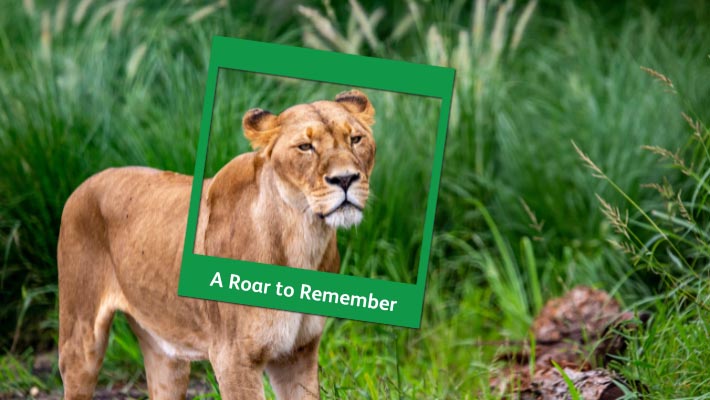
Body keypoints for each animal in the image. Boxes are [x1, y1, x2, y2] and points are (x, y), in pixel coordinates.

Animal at [57, 90, 376, 400]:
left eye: (356, 139)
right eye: (305, 147)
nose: (345, 179)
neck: (303, 236)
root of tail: (86, 182)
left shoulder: (298, 353)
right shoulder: (233, 357)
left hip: (165, 355)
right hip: (80, 341)